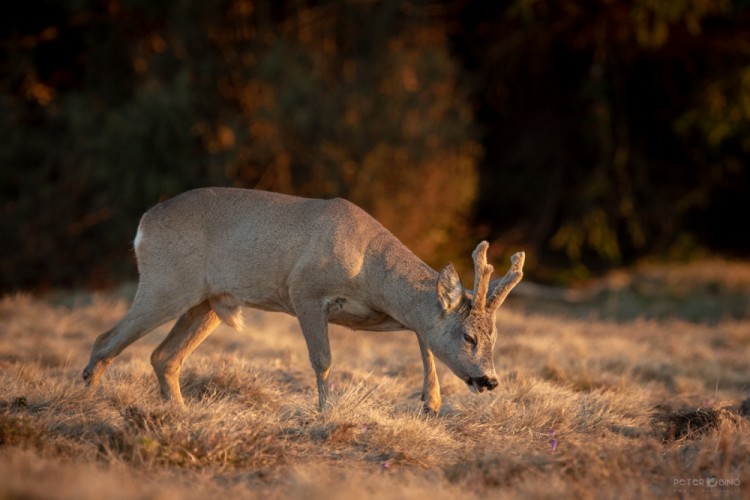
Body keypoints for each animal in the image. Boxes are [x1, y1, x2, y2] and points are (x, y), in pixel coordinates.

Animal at [82, 188, 524, 414]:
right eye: (468, 337)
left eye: (495, 338)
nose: (489, 380)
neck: (368, 269)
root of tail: (144, 223)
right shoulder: (305, 292)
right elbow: (323, 360)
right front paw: (326, 413)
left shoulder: (385, 315)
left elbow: (424, 335)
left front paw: (430, 402)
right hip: (166, 282)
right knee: (105, 339)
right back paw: (85, 404)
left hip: (207, 302)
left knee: (163, 356)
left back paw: (181, 415)